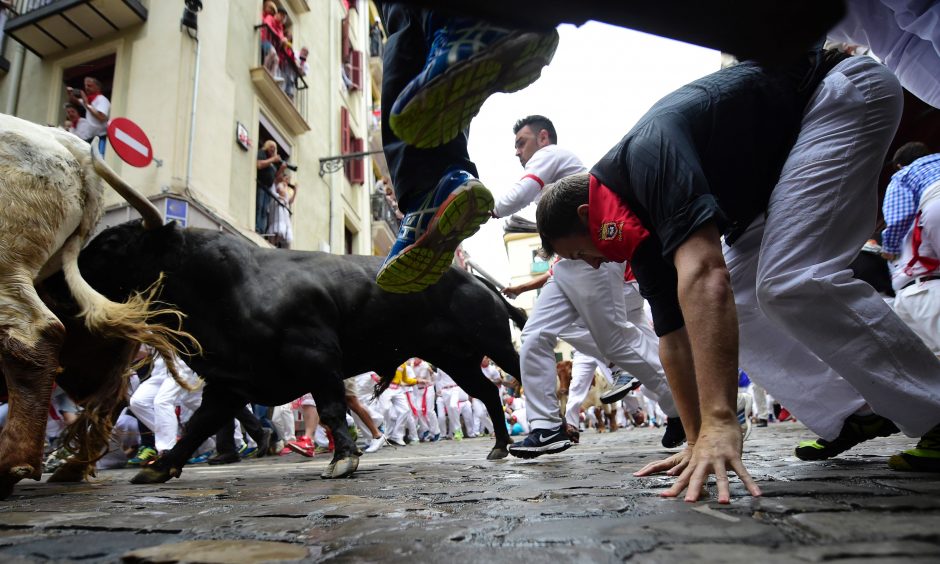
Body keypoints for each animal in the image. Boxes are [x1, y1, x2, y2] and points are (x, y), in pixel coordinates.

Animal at [0, 113, 196, 498]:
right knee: (110, 398)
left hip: (7, 263)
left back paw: (11, 466)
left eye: (112, 242)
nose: (57, 287)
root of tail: (65, 143)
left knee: (36, 338)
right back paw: (71, 467)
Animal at [31, 219, 528, 480]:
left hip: (492, 346)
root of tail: (477, 282)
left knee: (518, 375)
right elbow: (198, 425)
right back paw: (499, 446)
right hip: (457, 359)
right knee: (488, 393)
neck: (225, 286)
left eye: (112, 242)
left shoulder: (318, 359)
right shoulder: (229, 382)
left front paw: (342, 459)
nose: (51, 281)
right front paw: (161, 466)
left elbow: (330, 410)